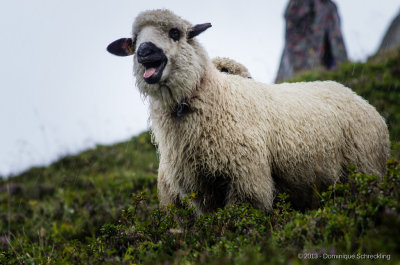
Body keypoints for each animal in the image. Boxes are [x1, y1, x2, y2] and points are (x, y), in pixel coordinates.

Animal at [107, 9, 390, 213]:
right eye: (134, 41)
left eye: (175, 32)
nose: (145, 52)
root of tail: (357, 96)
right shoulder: (200, 190)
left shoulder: (246, 179)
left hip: (364, 170)